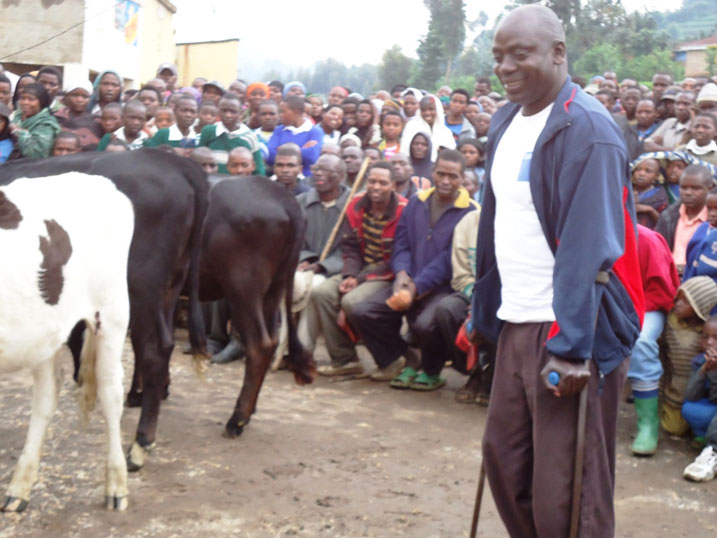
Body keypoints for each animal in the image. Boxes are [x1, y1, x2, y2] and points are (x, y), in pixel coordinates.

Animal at [0, 173, 134, 510]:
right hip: (44, 330)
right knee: (46, 397)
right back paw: (19, 488)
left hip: (112, 312)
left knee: (111, 394)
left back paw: (116, 486)